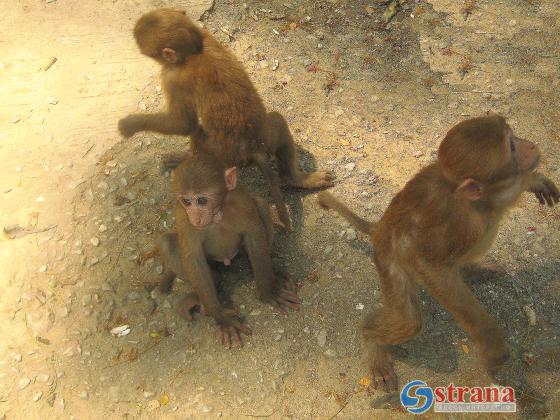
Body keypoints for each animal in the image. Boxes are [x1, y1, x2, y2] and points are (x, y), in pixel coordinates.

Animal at [118, 8, 334, 231]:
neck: (194, 50)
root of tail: (253, 148)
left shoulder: (172, 77)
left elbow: (183, 124)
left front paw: (130, 124)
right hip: (266, 137)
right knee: (277, 121)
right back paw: (296, 178)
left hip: (220, 155)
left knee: (197, 135)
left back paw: (186, 158)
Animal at [158, 153, 300, 346]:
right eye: (186, 201)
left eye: (201, 200)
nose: (195, 216)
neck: (217, 213)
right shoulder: (183, 216)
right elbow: (193, 257)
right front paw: (222, 318)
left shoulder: (241, 203)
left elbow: (254, 234)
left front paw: (269, 291)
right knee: (167, 243)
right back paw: (203, 291)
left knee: (261, 204)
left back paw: (271, 270)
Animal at [318, 114, 556, 390]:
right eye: (512, 146)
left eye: (513, 135)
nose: (530, 145)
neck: (481, 202)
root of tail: (380, 228)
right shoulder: (461, 224)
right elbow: (431, 267)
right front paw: (492, 343)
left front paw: (536, 180)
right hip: (388, 260)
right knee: (409, 320)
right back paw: (372, 338)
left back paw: (472, 269)